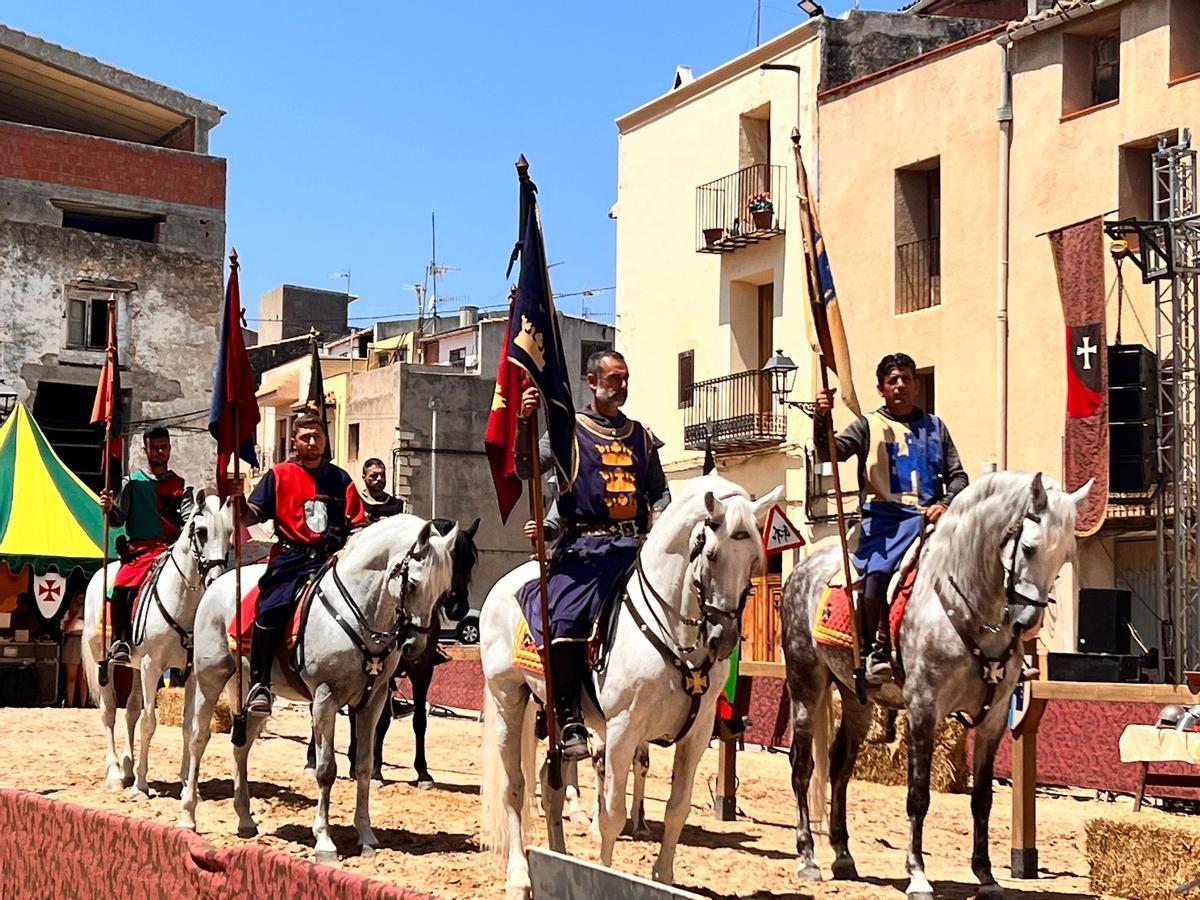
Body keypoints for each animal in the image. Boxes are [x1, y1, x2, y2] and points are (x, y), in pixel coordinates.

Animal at [81, 494, 231, 796]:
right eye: (201, 532)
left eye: (229, 533)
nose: (215, 579)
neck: (182, 597)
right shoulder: (153, 667)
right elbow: (149, 722)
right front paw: (141, 785)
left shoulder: (190, 672)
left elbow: (187, 725)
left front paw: (186, 784)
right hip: (105, 662)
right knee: (109, 712)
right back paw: (115, 773)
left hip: (136, 668)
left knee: (130, 711)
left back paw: (128, 768)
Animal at [176, 511, 453, 864]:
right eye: (414, 583)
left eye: (443, 591)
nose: (416, 646)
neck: (359, 610)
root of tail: (220, 584)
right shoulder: (325, 699)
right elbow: (326, 769)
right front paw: (324, 841)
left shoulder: (373, 701)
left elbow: (364, 766)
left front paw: (366, 836)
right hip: (209, 678)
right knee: (198, 738)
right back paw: (188, 816)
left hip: (251, 691)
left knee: (242, 746)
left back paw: (245, 820)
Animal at [482, 475, 782, 897]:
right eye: (711, 554)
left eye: (755, 559)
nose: (723, 639)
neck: (673, 630)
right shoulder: (622, 730)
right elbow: (612, 815)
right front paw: (604, 873)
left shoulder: (697, 733)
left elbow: (677, 808)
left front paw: (663, 877)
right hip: (508, 698)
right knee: (515, 789)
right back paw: (520, 875)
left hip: (551, 713)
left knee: (551, 788)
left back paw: (557, 857)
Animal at [777, 475, 1089, 897]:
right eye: (1028, 547)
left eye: (1064, 554)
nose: (1027, 622)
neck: (968, 607)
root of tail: (804, 568)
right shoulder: (924, 709)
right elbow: (919, 794)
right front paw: (917, 874)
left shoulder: (993, 719)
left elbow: (982, 799)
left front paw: (986, 875)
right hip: (805, 684)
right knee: (803, 765)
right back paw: (808, 856)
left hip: (856, 698)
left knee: (840, 765)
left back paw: (843, 855)